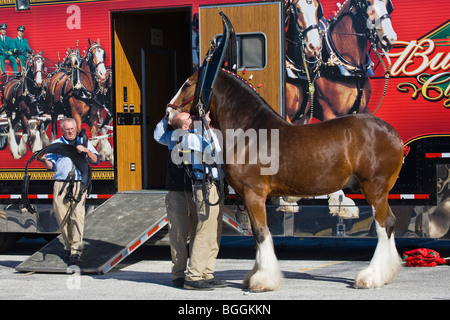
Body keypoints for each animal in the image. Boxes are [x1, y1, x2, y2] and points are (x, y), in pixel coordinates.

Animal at [166, 69, 404, 292]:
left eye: (187, 84)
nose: (169, 113)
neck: (250, 133)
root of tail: (394, 134)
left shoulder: (254, 194)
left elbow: (261, 234)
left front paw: (262, 281)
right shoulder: (249, 197)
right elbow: (256, 236)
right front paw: (254, 275)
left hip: (374, 189)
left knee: (384, 225)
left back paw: (371, 277)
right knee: (390, 223)